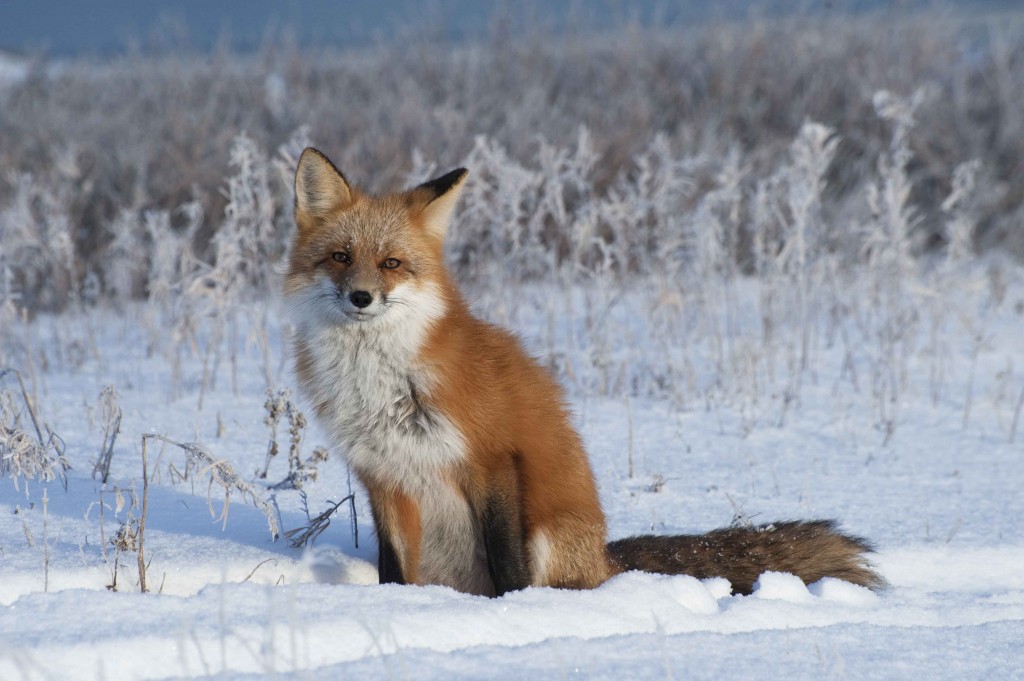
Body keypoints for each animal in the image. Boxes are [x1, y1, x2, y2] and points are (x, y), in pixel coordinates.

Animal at [284, 147, 884, 593]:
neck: (384, 382)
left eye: (391, 263)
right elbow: (391, 571)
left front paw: (515, 612)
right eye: (340, 257)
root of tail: (605, 560)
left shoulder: (493, 458)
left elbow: (507, 565)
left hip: (549, 531)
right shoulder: (384, 478)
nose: (361, 297)